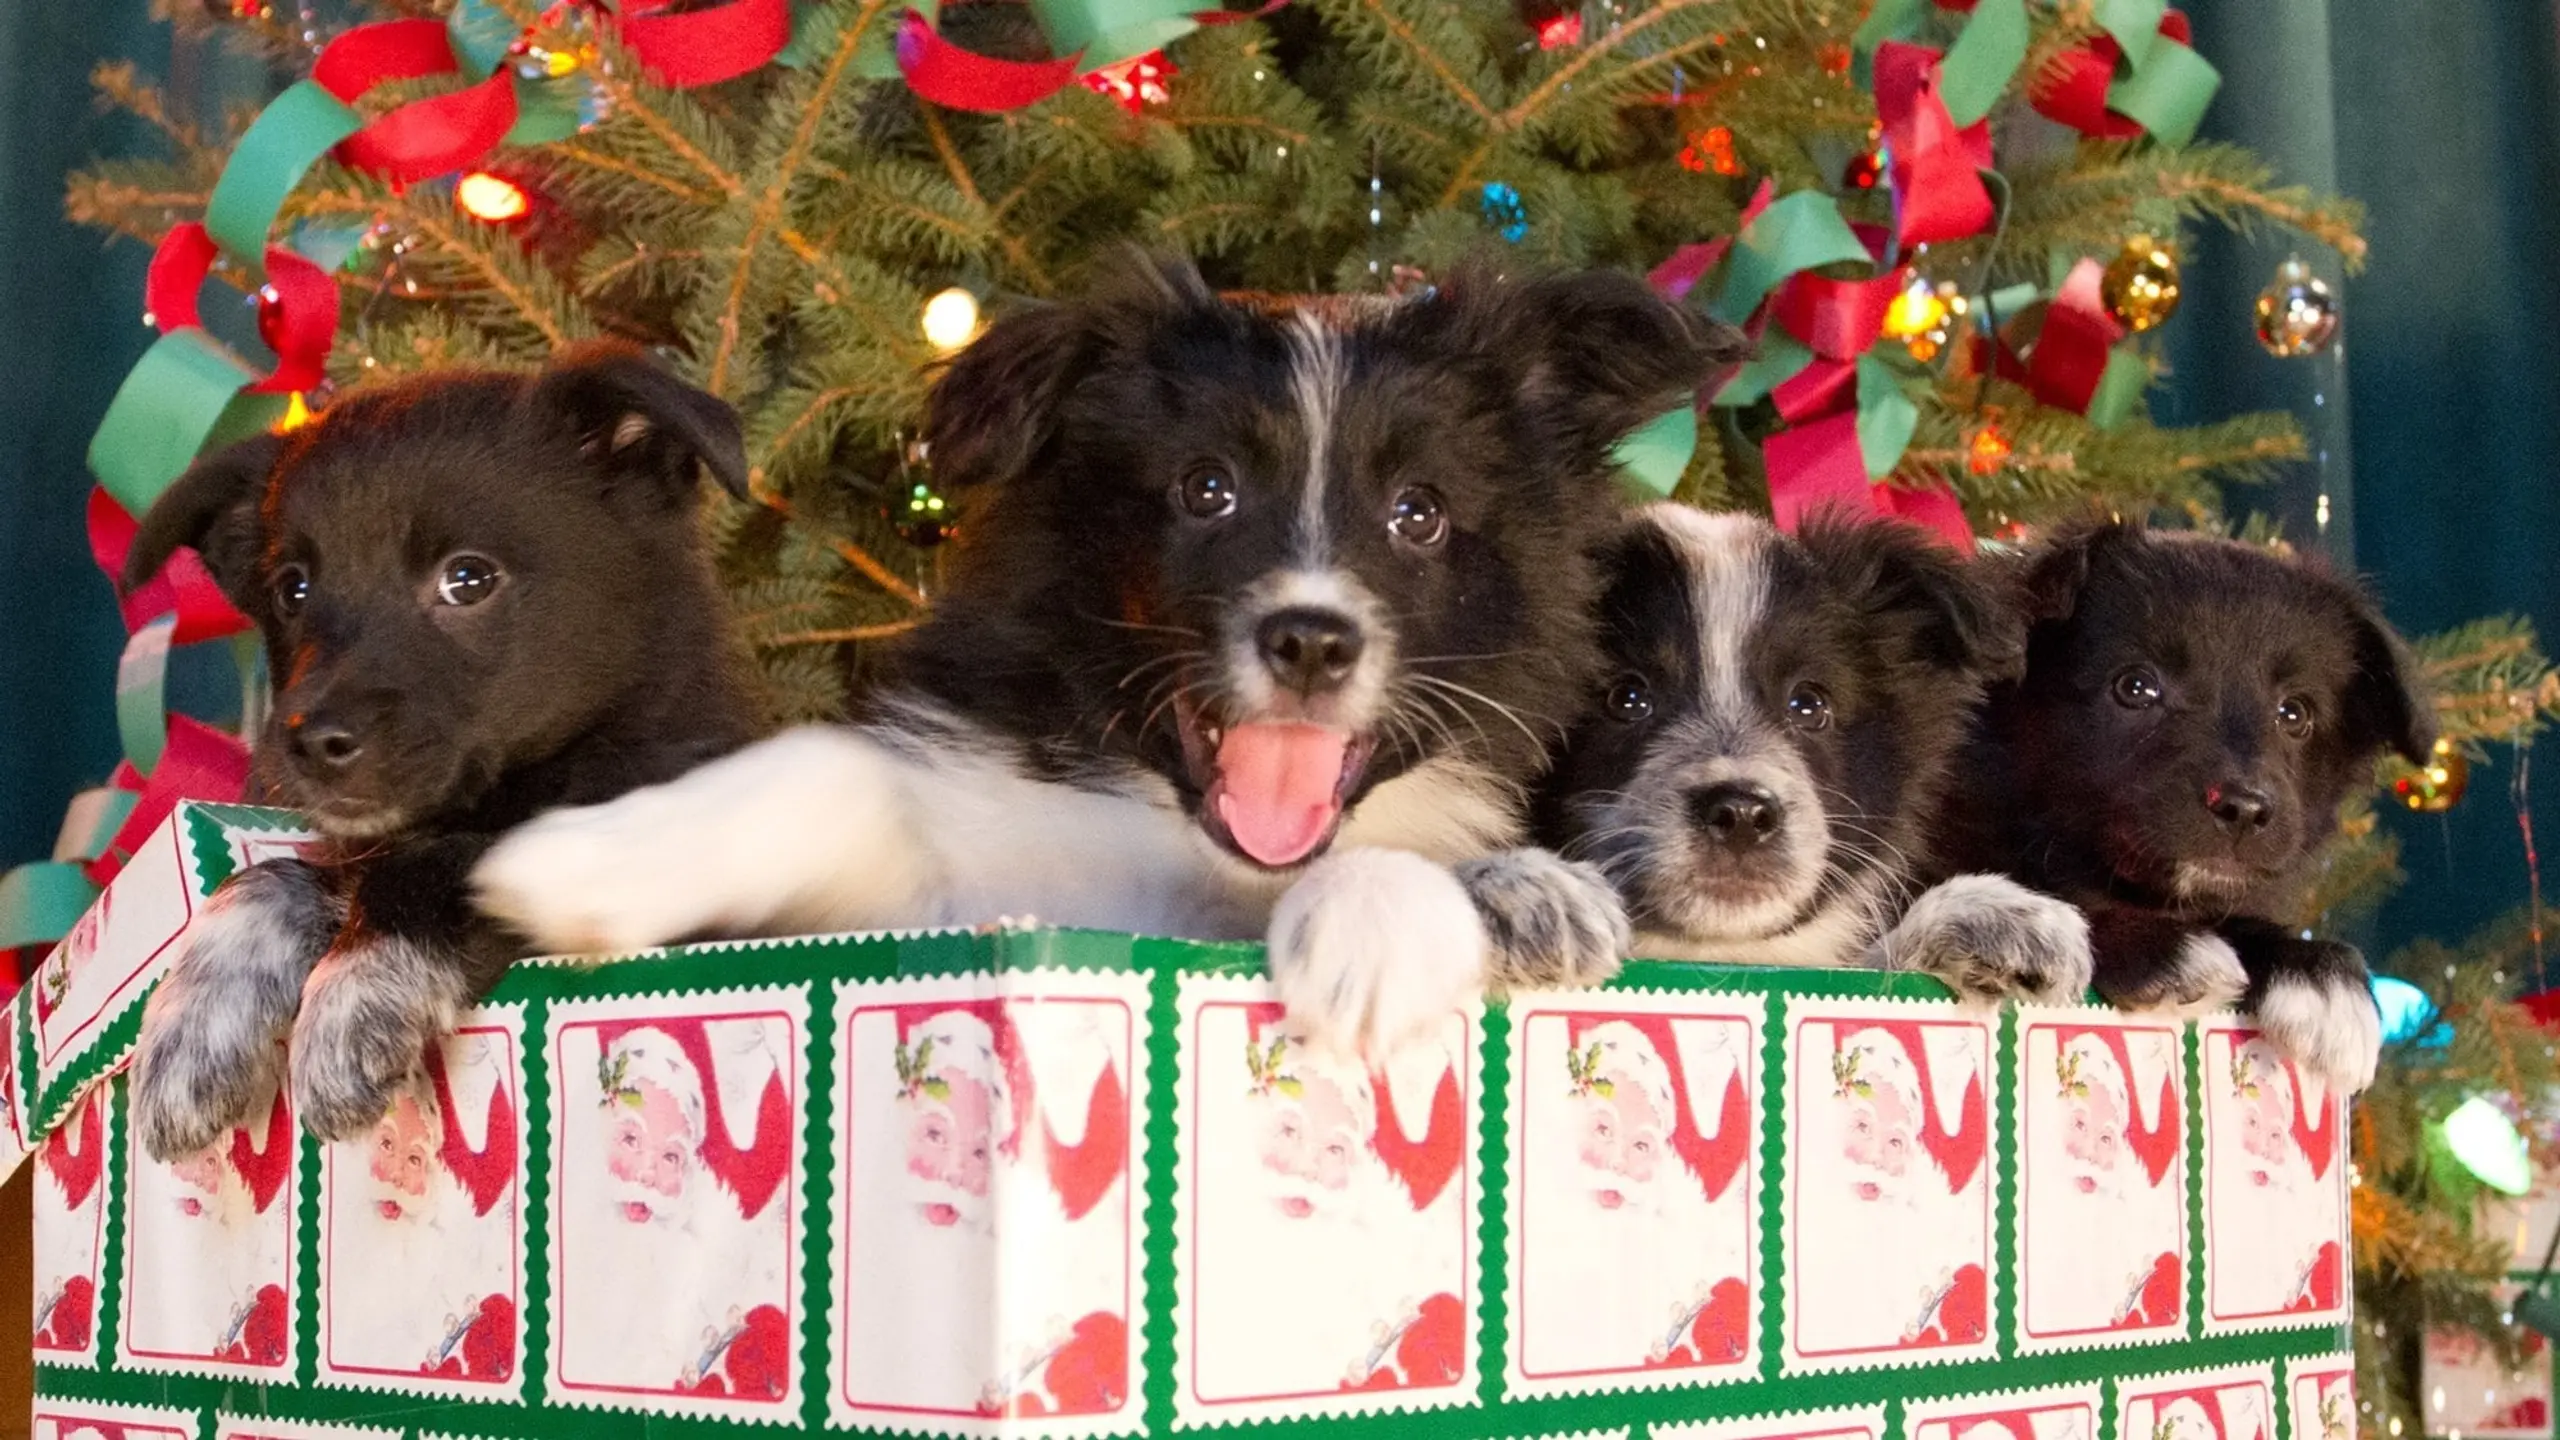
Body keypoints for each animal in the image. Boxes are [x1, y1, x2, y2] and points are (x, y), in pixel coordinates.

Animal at [122, 345, 757, 1153]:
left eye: (468, 578)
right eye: (293, 589)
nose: (308, 744)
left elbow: (442, 862)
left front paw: (353, 996)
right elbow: (275, 875)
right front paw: (191, 1029)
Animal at [478, 252, 1740, 1050]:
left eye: (1417, 513)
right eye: (1205, 489)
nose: (1311, 642)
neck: (1181, 846)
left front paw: (1391, 928)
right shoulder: (961, 865)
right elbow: (827, 765)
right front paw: (593, 862)